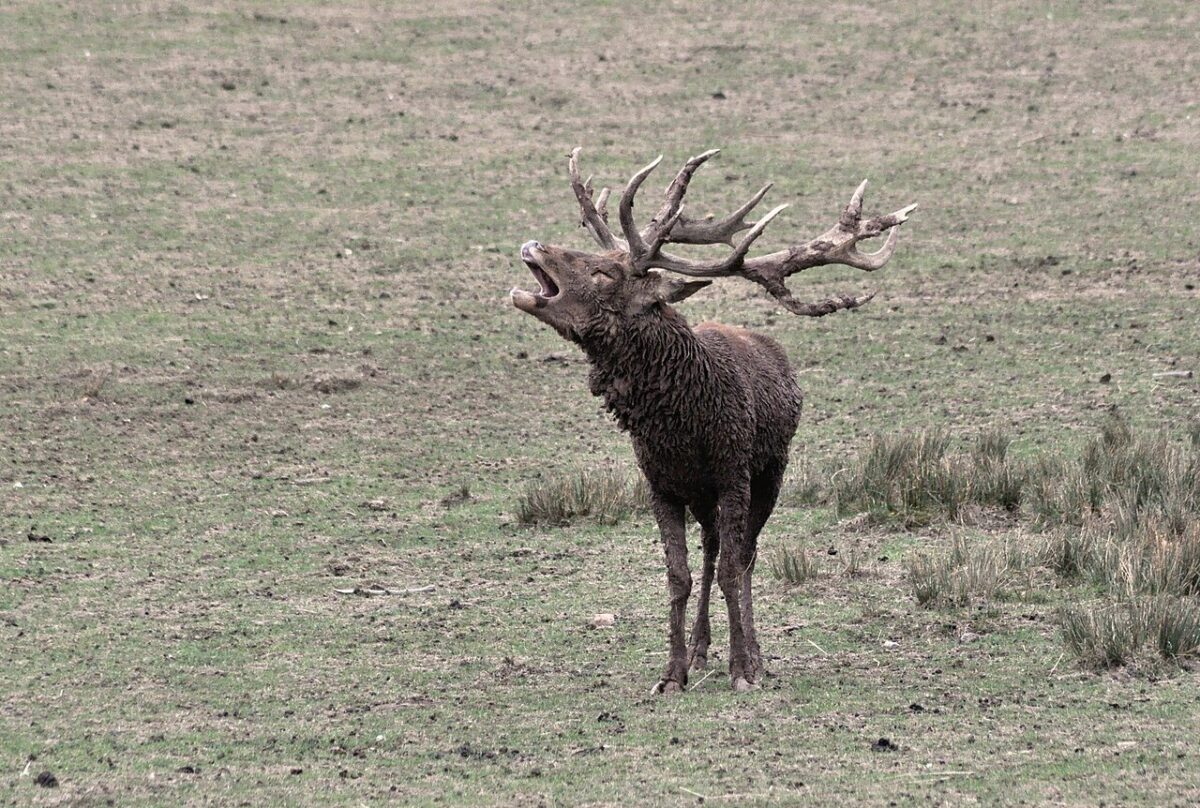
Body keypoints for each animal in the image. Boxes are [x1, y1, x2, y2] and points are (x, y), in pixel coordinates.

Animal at [511, 147, 916, 693]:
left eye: (604, 275)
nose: (533, 245)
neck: (684, 428)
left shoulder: (734, 473)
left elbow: (732, 569)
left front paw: (744, 669)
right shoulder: (660, 483)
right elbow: (678, 576)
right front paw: (672, 673)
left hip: (770, 472)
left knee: (743, 556)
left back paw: (753, 655)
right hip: (703, 497)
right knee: (711, 549)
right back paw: (704, 650)